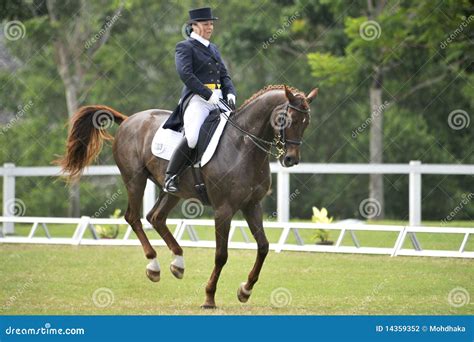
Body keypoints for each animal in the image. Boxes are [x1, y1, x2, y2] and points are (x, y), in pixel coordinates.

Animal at [58, 85, 318, 308]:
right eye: (286, 119)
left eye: (306, 123)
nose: (290, 159)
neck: (243, 146)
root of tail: (130, 119)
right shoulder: (223, 209)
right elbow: (221, 255)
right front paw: (209, 297)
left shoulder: (252, 205)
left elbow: (263, 247)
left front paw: (245, 290)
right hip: (135, 180)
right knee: (134, 217)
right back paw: (154, 266)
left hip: (172, 191)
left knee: (156, 217)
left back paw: (178, 263)